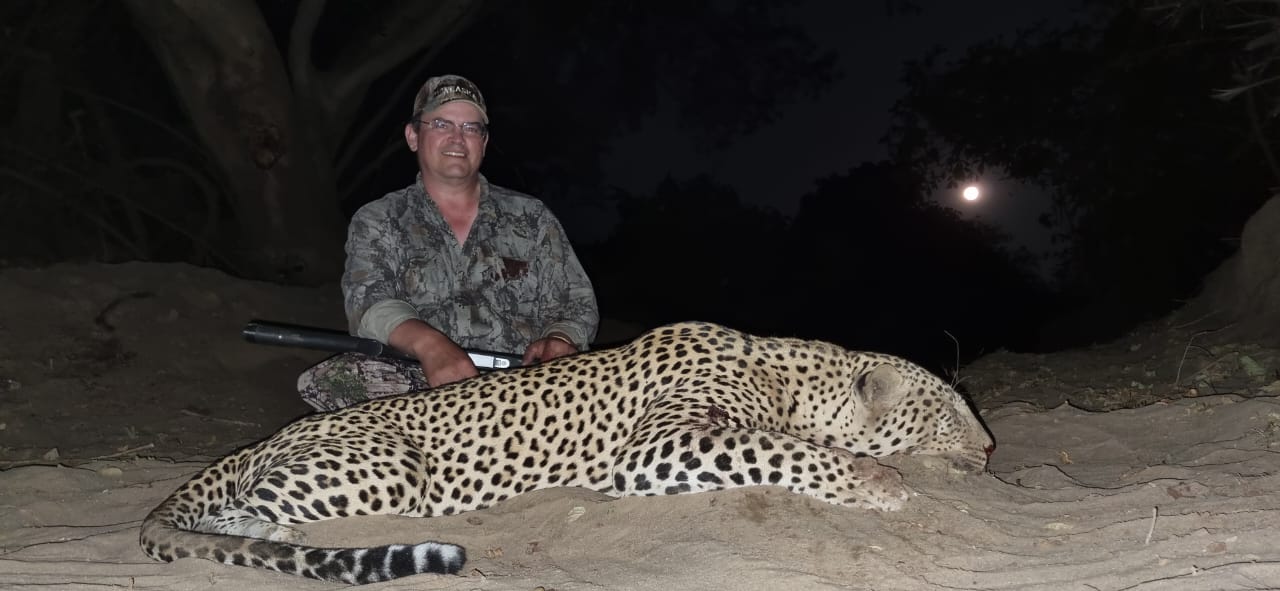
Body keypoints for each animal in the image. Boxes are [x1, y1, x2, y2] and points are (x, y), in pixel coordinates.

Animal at [140, 321, 994, 584]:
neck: (789, 375)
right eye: (951, 406)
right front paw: (875, 480)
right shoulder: (659, 444)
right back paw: (275, 533)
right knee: (242, 513)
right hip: (386, 467)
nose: (991, 445)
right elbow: (780, 449)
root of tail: (265, 436)